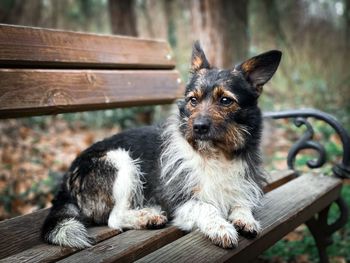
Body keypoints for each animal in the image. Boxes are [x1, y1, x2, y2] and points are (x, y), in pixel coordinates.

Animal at [41, 42, 282, 251]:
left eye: (225, 100)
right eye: (193, 100)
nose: (198, 127)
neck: (213, 154)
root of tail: (65, 182)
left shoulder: (241, 186)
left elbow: (241, 204)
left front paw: (244, 219)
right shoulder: (179, 200)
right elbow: (207, 207)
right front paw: (221, 227)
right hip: (119, 161)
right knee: (114, 218)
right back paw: (147, 216)